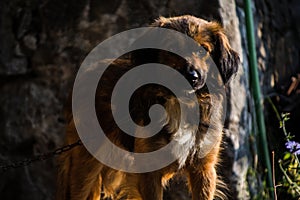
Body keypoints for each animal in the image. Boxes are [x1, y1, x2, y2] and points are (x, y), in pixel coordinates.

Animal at [56, 15, 239, 200]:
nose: (192, 76)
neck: (181, 102)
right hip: (84, 165)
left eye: (203, 50)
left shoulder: (204, 168)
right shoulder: (149, 171)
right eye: (171, 48)